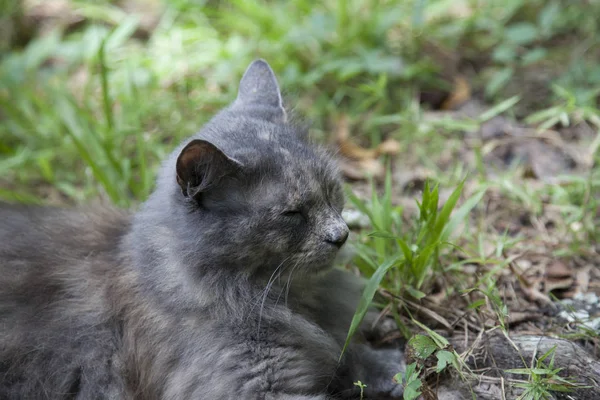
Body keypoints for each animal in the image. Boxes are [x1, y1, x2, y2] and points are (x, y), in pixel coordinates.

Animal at [0, 59, 406, 400]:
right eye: (292, 213)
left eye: (332, 191)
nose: (341, 234)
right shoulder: (250, 386)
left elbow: (350, 352)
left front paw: (391, 367)